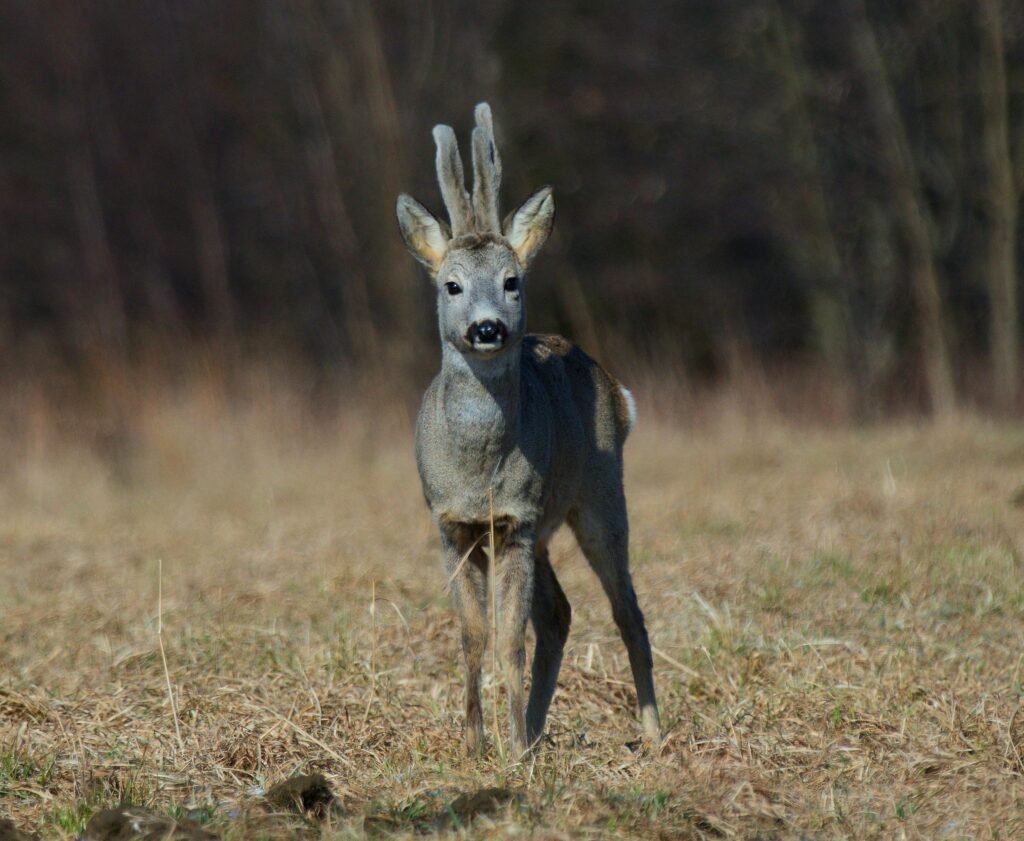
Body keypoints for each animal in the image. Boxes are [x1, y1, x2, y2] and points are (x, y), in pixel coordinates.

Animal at [396, 103, 660, 758]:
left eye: (512, 281)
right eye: (452, 285)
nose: (488, 328)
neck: (478, 471)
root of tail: (617, 391)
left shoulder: (514, 520)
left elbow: (508, 637)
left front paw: (510, 751)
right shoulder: (454, 525)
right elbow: (472, 635)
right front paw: (476, 744)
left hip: (598, 495)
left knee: (626, 611)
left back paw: (651, 734)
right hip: (545, 526)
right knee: (559, 613)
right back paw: (538, 730)